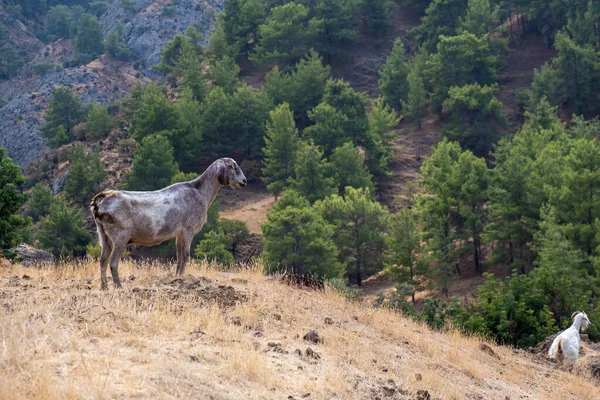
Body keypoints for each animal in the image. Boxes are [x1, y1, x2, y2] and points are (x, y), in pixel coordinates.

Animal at [91, 158, 246, 290]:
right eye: (231, 166)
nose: (244, 181)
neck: (200, 192)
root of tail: (102, 201)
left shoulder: (180, 233)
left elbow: (179, 254)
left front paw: (177, 276)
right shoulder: (189, 229)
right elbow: (186, 254)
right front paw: (183, 276)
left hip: (103, 235)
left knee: (103, 260)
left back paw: (104, 287)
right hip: (120, 236)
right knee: (113, 262)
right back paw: (118, 286)